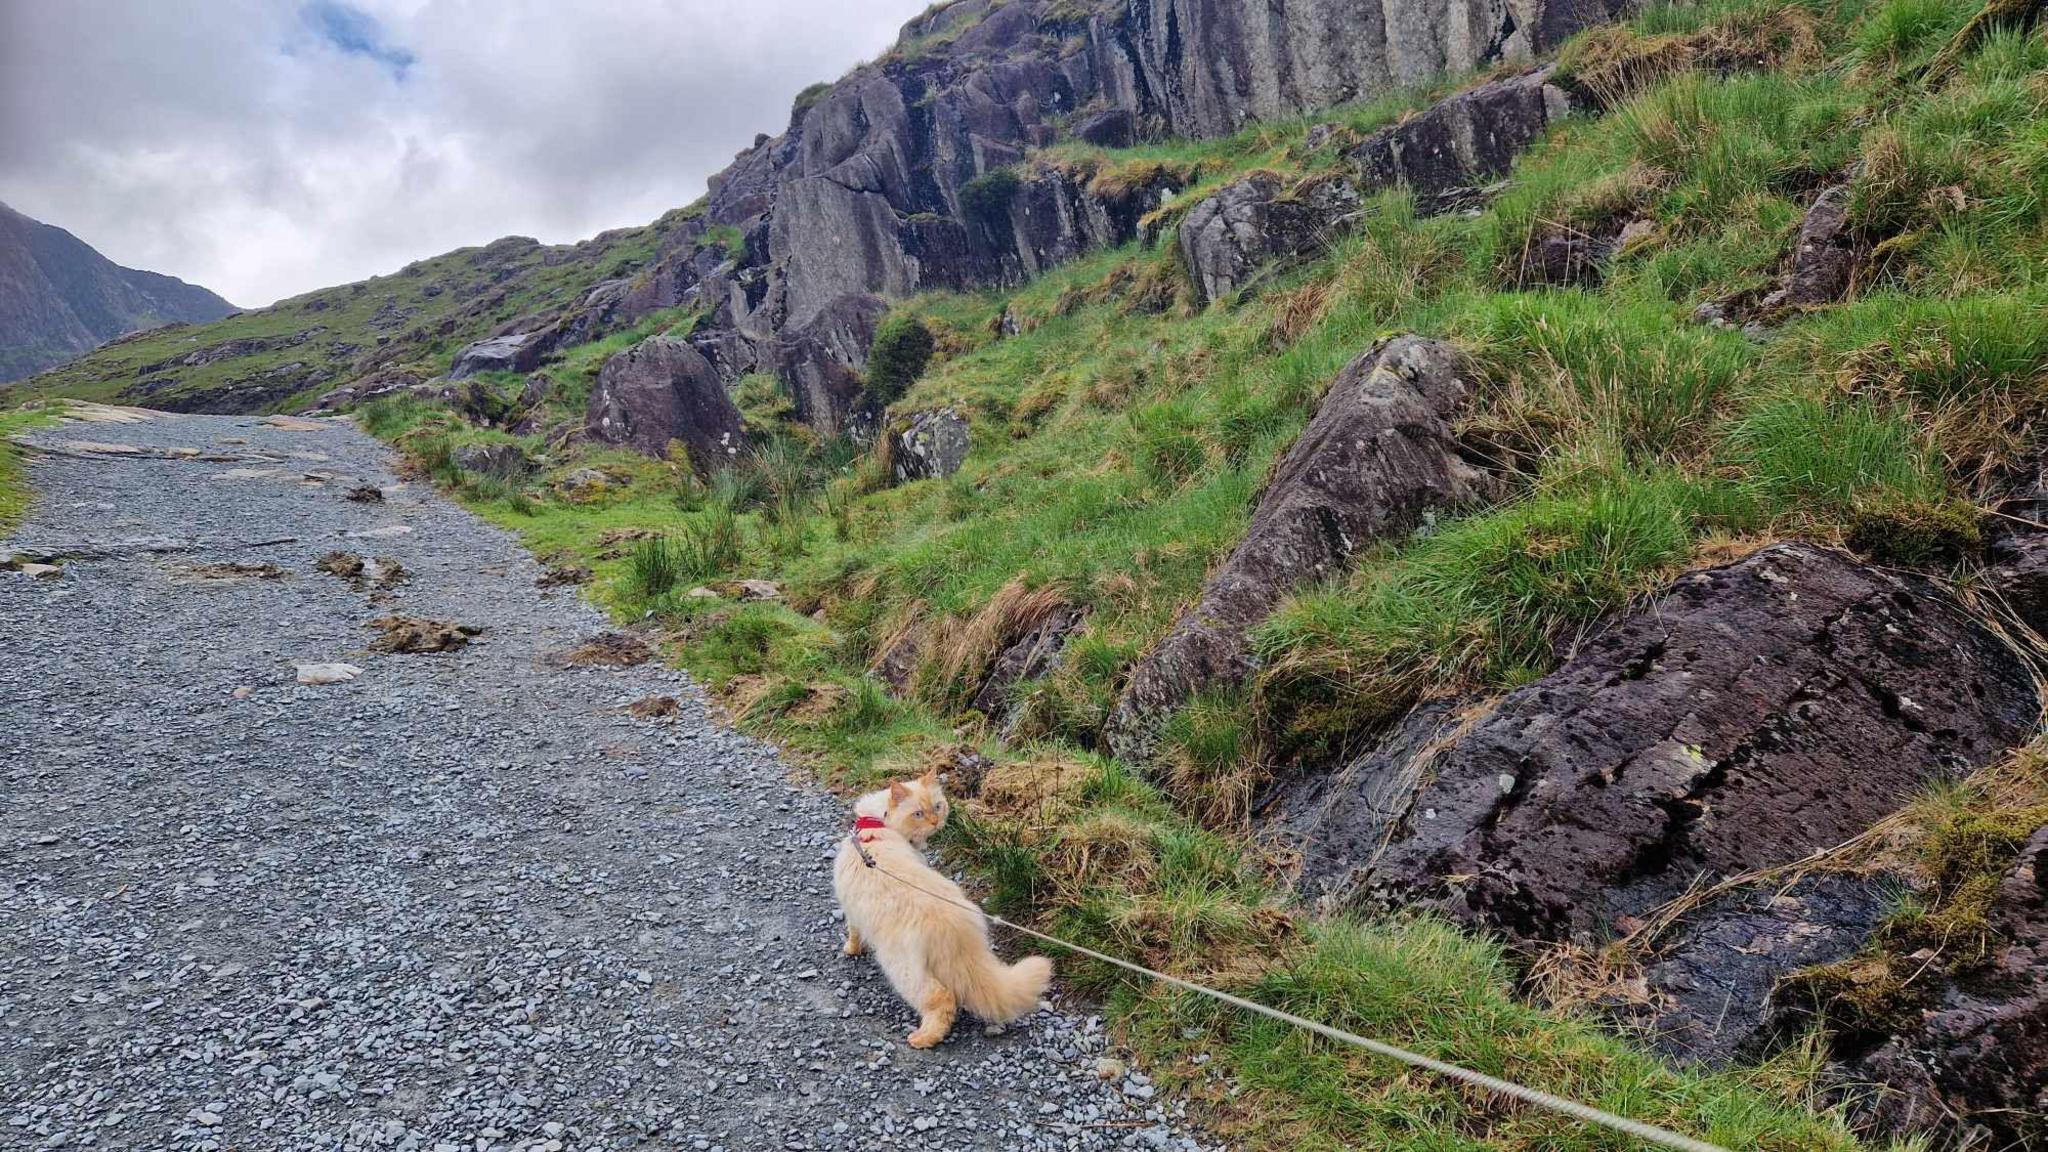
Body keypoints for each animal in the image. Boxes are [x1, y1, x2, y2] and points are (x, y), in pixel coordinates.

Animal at [831, 766, 1056, 1045]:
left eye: (937, 807)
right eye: (918, 813)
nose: (935, 822)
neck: (875, 826)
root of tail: (955, 924)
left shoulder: (851, 911)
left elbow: (853, 934)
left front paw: (851, 950)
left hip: (904, 970)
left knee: (942, 1000)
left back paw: (922, 1038)